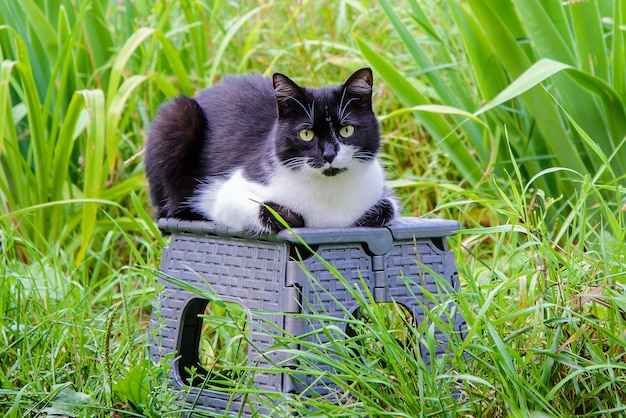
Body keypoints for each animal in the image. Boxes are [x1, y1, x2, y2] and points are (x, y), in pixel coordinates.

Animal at [144, 67, 398, 233]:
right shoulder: (221, 194)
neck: (329, 190)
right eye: (306, 134)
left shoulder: (380, 191)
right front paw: (292, 216)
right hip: (176, 115)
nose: (328, 154)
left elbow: (387, 208)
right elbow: (272, 212)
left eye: (346, 130)